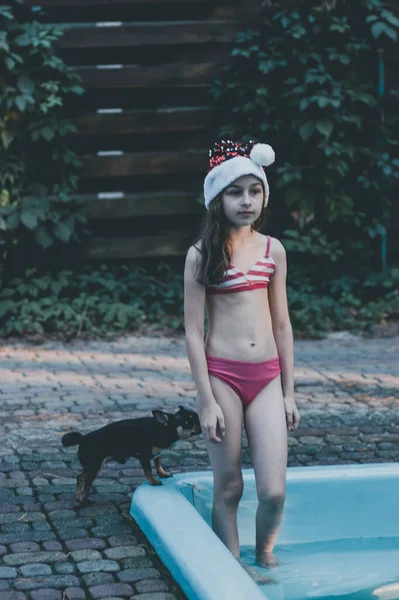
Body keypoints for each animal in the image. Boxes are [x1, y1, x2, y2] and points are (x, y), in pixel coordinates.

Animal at [62, 406, 202, 504]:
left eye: (196, 418)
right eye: (187, 423)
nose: (200, 426)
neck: (164, 428)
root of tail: (83, 438)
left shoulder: (157, 454)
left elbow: (158, 463)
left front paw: (162, 473)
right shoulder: (144, 457)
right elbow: (149, 471)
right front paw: (153, 481)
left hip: (92, 467)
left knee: (79, 477)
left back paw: (78, 496)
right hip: (95, 467)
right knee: (87, 483)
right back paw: (85, 499)